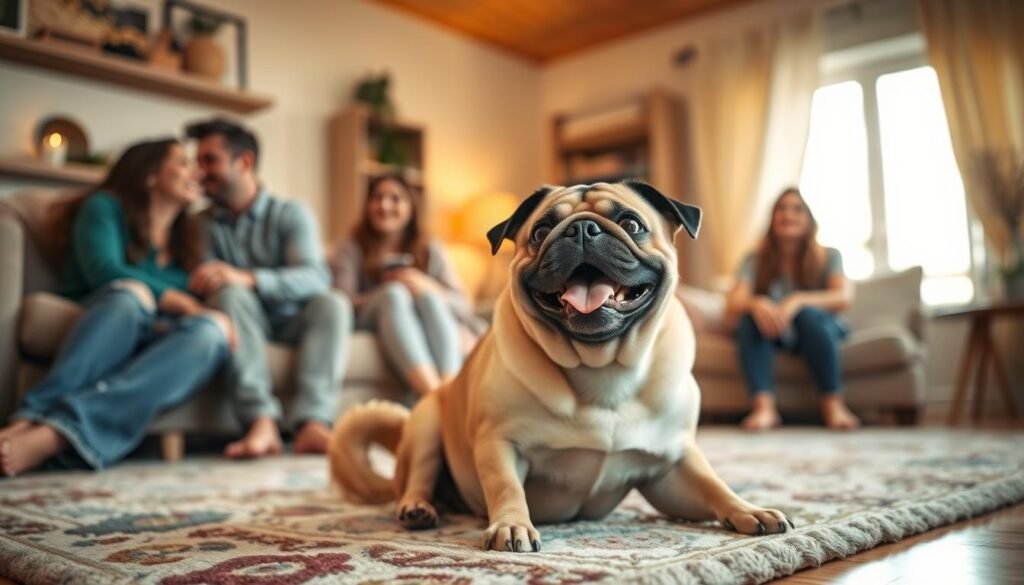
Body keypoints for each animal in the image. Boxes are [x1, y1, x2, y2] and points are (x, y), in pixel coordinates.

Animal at [331, 181, 794, 553]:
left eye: (631, 224)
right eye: (540, 231)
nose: (582, 228)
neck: (601, 368)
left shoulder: (671, 467)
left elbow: (714, 486)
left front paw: (750, 509)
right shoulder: (500, 444)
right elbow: (506, 486)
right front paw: (512, 525)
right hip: (427, 422)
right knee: (416, 478)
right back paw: (419, 508)